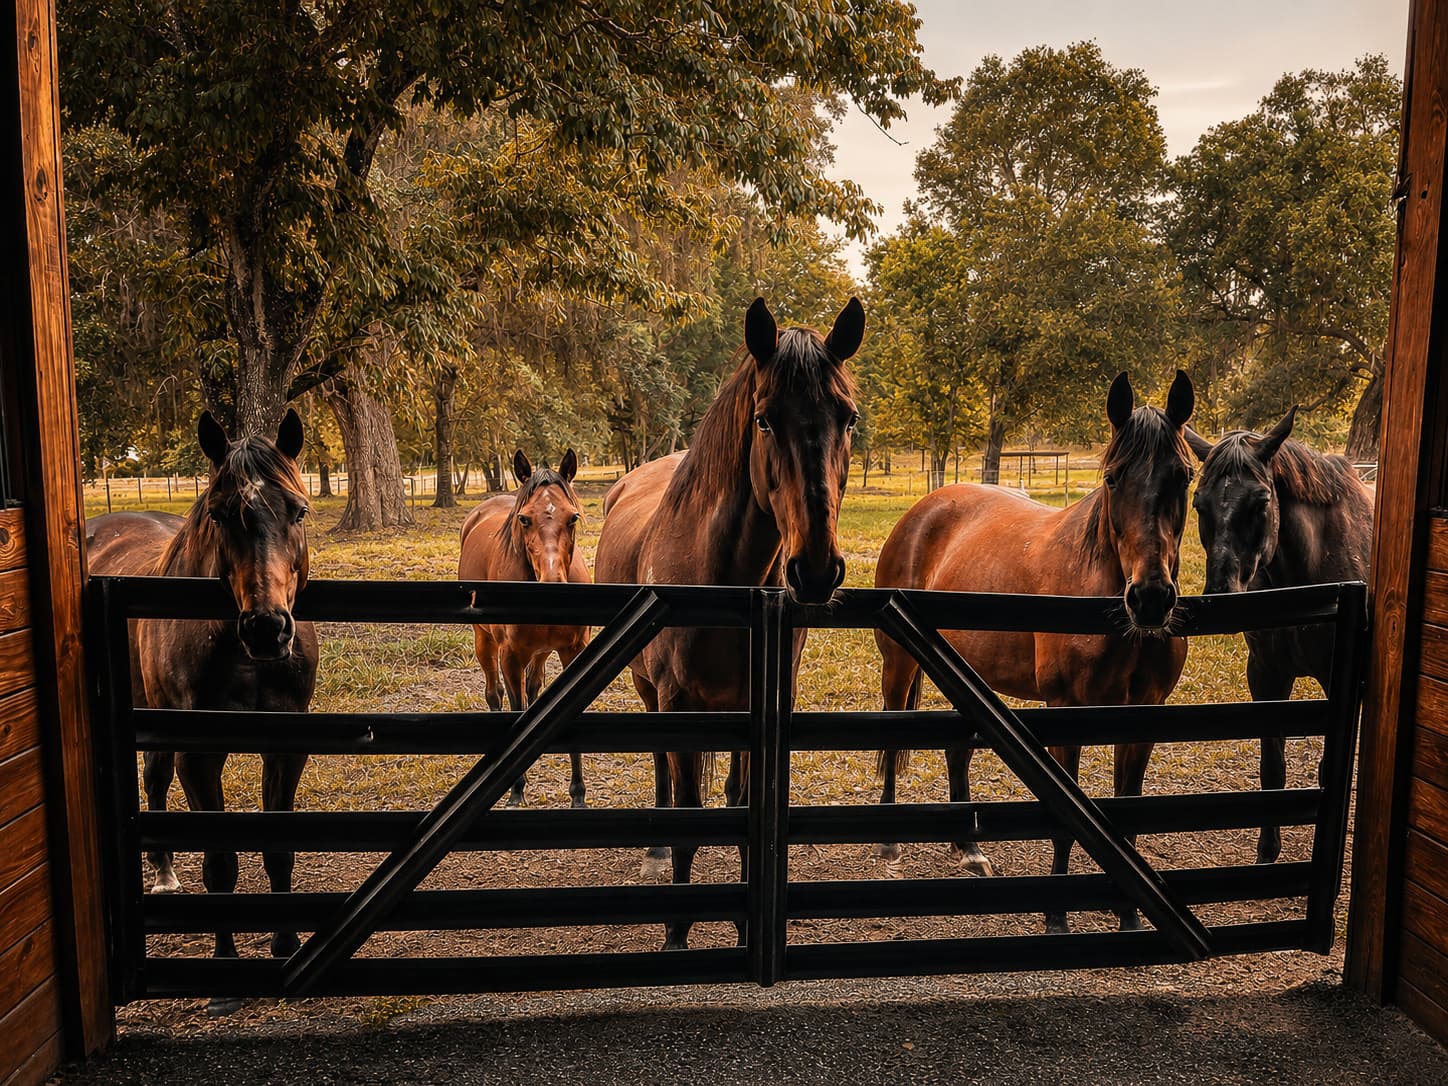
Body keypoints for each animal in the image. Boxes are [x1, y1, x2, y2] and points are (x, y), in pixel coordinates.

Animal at [86, 410, 318, 1014]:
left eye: (299, 510)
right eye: (219, 513)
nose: (266, 628)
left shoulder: (288, 746)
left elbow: (277, 851)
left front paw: (285, 943)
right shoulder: (199, 754)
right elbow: (220, 863)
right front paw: (224, 974)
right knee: (155, 781)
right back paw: (165, 876)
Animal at [458, 449, 591, 808]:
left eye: (572, 517)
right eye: (524, 519)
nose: (552, 583)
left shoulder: (573, 651)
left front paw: (578, 794)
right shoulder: (511, 657)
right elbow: (516, 710)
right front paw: (516, 790)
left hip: (541, 653)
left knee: (534, 690)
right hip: (484, 642)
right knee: (495, 694)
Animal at [594, 296, 864, 949]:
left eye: (848, 419)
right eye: (764, 421)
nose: (815, 571)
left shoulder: (763, 700)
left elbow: (749, 803)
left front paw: (746, 929)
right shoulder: (678, 703)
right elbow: (690, 814)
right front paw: (675, 932)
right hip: (648, 691)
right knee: (663, 774)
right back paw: (655, 851)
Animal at [874, 371, 1196, 933]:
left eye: (1184, 476)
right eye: (1112, 478)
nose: (1151, 599)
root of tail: (923, 510)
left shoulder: (1144, 713)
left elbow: (1128, 813)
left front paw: (1131, 921)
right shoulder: (1067, 709)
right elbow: (1068, 823)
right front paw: (1056, 917)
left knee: (956, 750)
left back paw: (969, 850)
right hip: (900, 664)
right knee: (894, 738)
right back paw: (892, 845)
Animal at [1185, 409, 1374, 862]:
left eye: (1262, 502)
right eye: (1199, 504)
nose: (1221, 594)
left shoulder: (1336, 683)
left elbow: (1327, 771)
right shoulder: (1267, 675)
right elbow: (1272, 768)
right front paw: (1266, 852)